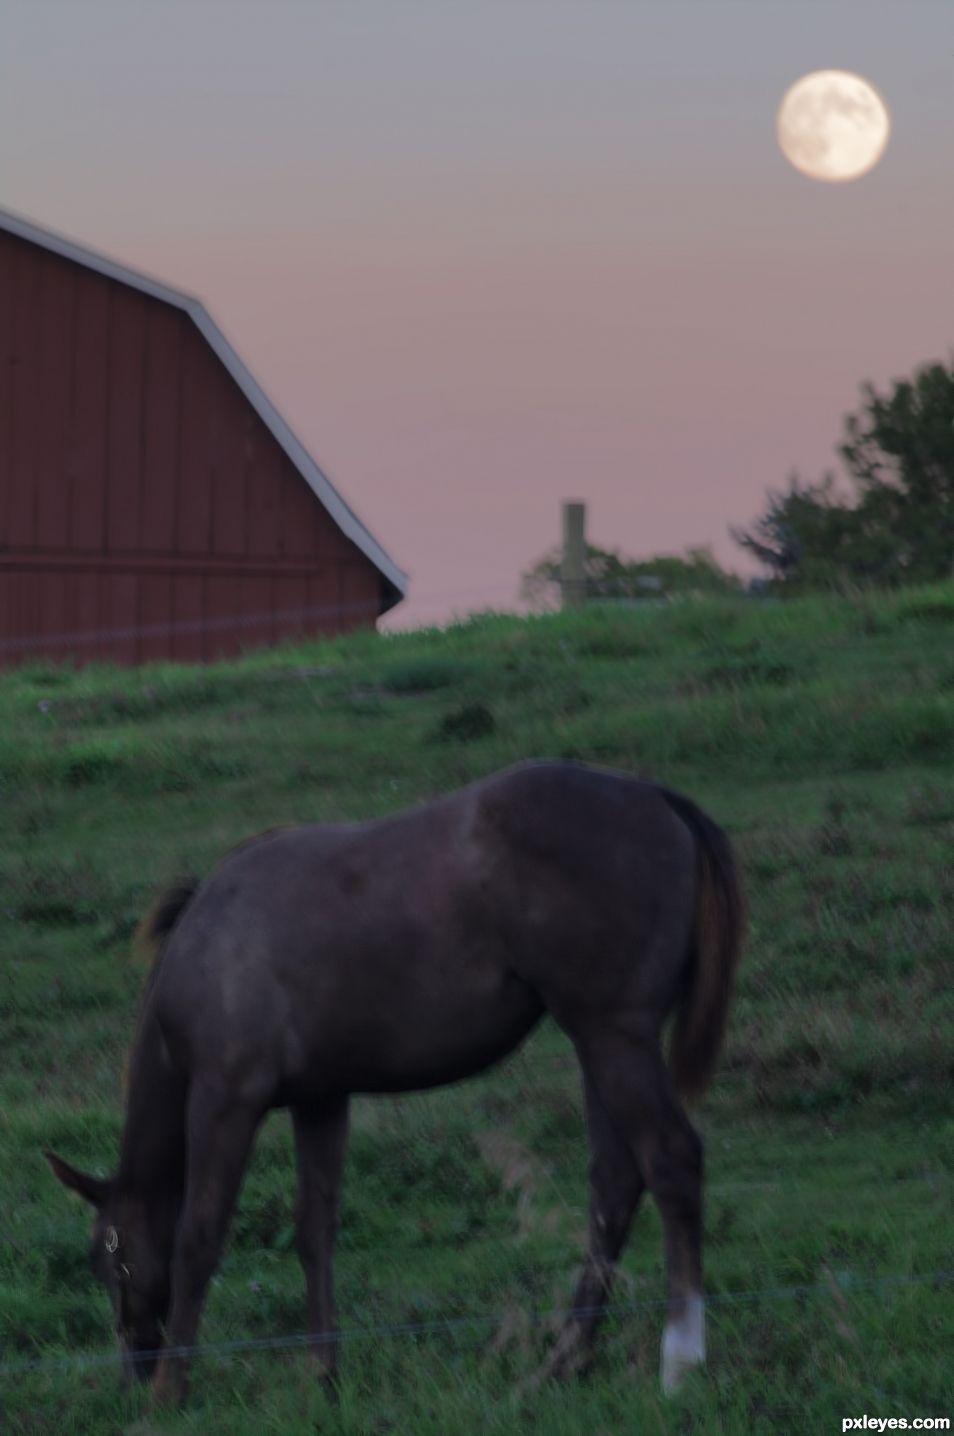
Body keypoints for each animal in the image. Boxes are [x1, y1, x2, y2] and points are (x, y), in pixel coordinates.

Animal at [46, 758, 747, 1407]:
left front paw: (172, 1390)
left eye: (108, 1258)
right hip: (599, 1043)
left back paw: (681, 1359)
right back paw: (563, 1361)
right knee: (615, 1186)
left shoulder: (226, 1100)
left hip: (612, 1037)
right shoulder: (320, 1100)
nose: (135, 1367)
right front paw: (323, 1372)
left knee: (671, 1161)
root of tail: (656, 797)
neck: (207, 946)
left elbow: (199, 1237)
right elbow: (314, 1232)